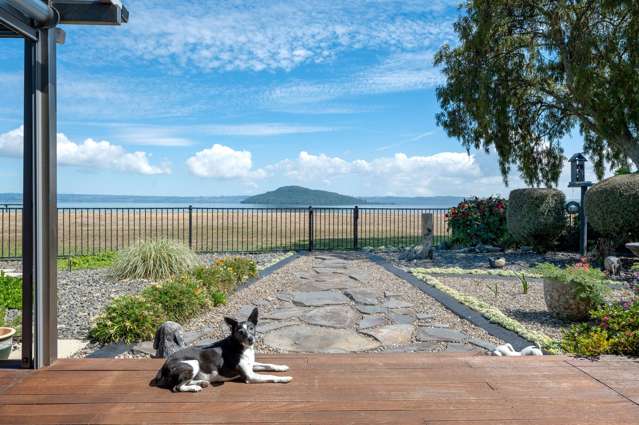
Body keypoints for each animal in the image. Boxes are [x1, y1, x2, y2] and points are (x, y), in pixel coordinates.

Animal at [149, 306, 292, 392]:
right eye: (240, 332)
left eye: (251, 328)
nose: (251, 339)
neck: (241, 347)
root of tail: (163, 367)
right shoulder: (250, 376)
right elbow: (269, 375)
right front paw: (285, 378)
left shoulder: (251, 365)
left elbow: (269, 365)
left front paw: (282, 367)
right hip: (193, 363)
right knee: (177, 387)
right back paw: (195, 387)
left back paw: (201, 382)